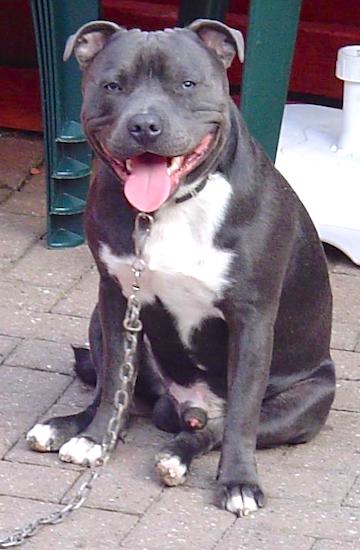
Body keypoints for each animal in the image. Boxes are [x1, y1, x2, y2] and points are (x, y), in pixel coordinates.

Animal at [26, 17, 336, 516]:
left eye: (187, 84)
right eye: (113, 85)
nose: (145, 125)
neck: (168, 208)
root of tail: (187, 407)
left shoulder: (251, 320)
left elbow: (241, 418)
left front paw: (238, 482)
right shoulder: (115, 296)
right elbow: (114, 380)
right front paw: (94, 439)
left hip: (306, 398)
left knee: (215, 430)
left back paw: (178, 455)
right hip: (98, 320)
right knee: (122, 395)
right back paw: (68, 428)